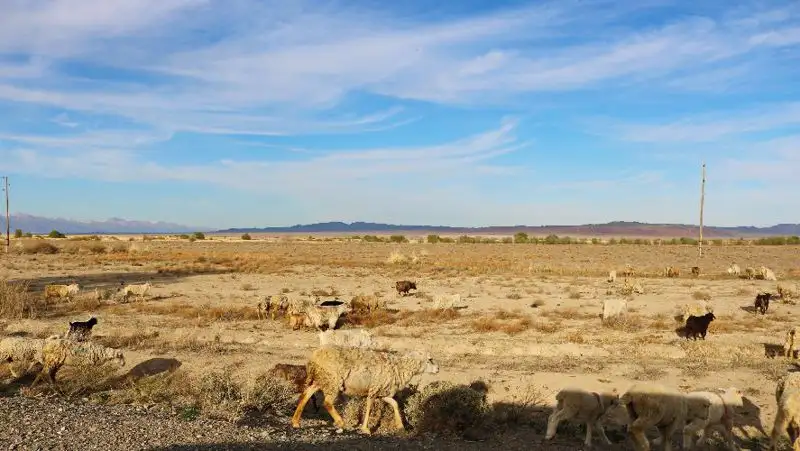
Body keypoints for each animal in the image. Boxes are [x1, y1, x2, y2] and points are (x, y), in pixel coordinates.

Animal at [290, 346, 438, 434]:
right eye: (430, 359)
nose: (438, 369)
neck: (399, 367)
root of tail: (314, 357)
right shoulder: (374, 389)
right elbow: (369, 407)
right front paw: (365, 428)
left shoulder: (383, 392)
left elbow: (395, 404)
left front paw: (400, 426)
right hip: (333, 381)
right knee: (327, 402)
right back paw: (340, 422)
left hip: (322, 380)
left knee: (305, 395)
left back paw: (295, 422)